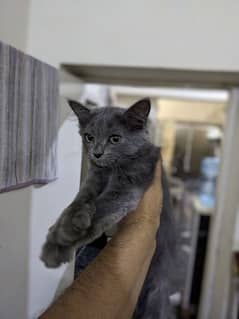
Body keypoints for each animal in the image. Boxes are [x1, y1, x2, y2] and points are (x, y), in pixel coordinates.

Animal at [41, 99, 175, 319]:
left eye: (115, 139)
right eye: (89, 137)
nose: (96, 153)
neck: (111, 170)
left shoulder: (127, 188)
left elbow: (101, 207)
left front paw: (62, 241)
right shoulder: (93, 179)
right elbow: (78, 202)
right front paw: (60, 231)